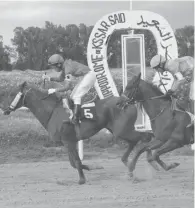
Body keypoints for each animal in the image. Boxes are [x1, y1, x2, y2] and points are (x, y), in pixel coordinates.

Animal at [0, 81, 152, 185]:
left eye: (12, 94)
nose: (4, 109)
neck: (53, 112)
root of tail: (127, 101)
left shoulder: (69, 141)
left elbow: (76, 162)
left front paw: (82, 179)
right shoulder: (68, 142)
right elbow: (74, 163)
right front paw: (92, 167)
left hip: (122, 130)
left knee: (144, 137)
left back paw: (137, 164)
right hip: (118, 130)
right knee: (140, 139)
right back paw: (136, 163)